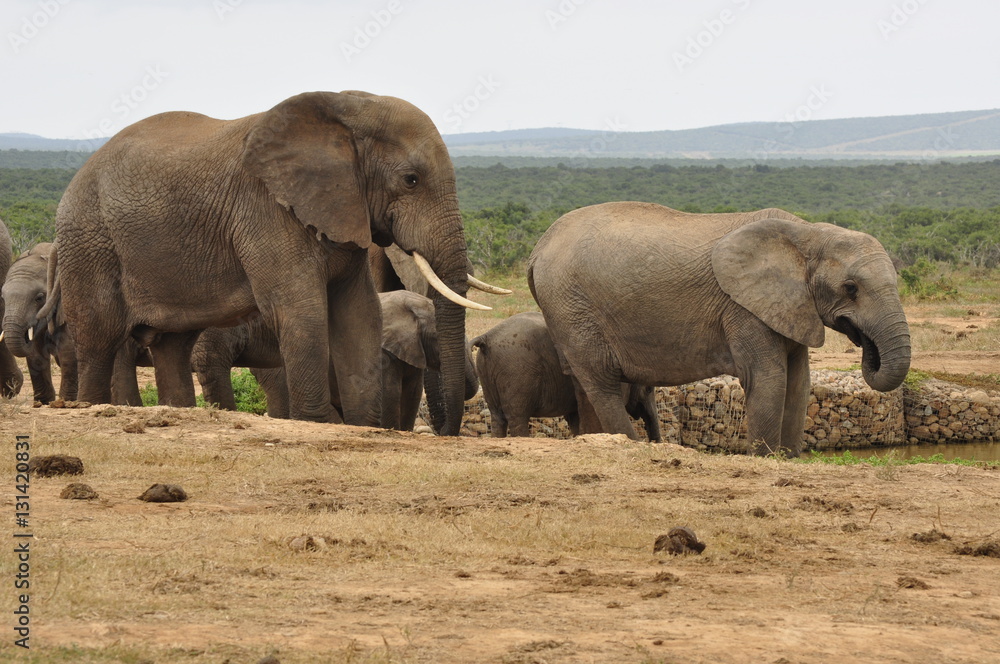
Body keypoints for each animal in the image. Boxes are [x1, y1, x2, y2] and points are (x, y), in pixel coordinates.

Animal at [1, 242, 77, 403]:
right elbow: (36, 353)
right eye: (3, 298)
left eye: (40, 298)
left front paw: (66, 401)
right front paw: (43, 401)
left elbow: (68, 350)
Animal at [471, 312, 661, 441]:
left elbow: (575, 418)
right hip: (517, 371)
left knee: (497, 417)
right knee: (517, 417)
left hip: (488, 370)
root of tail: (487, 337)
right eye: (648, 390)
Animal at [527, 203, 911, 456]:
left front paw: (790, 459)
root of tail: (537, 248)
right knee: (601, 382)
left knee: (583, 384)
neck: (809, 234)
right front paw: (765, 460)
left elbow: (799, 383)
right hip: (571, 304)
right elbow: (769, 380)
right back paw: (628, 444)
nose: (866, 346)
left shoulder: (788, 305)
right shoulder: (743, 308)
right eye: (851, 288)